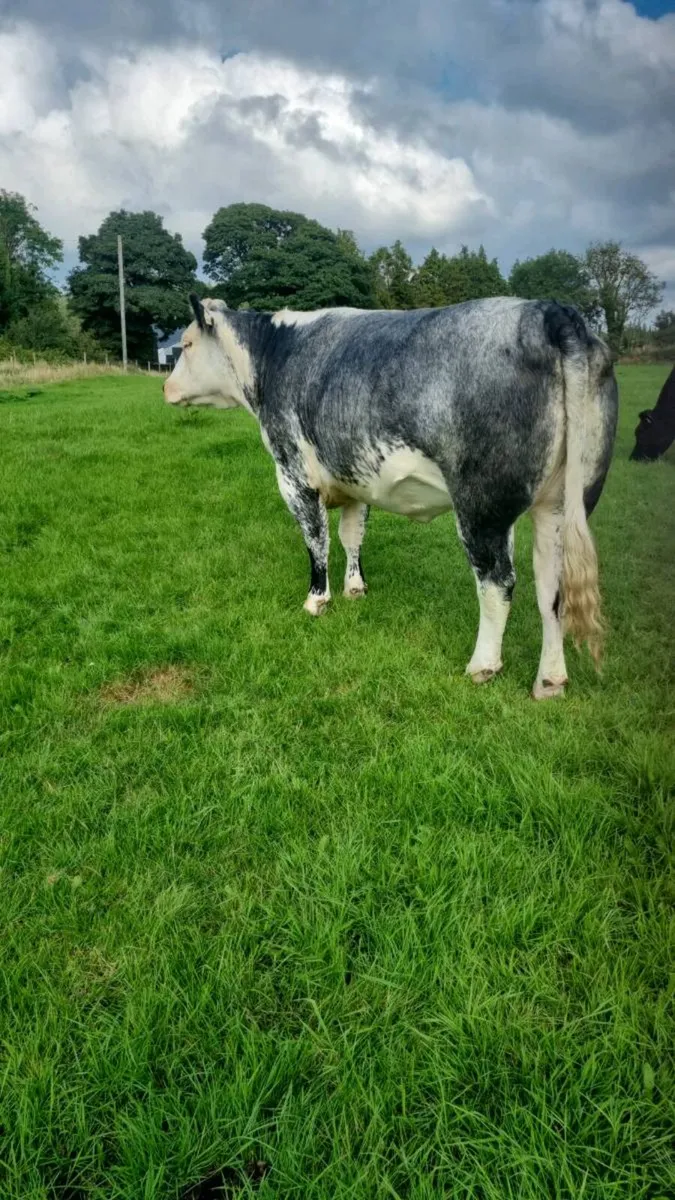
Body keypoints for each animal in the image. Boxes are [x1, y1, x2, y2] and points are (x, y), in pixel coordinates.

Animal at [164, 295, 617, 699]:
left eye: (185, 344)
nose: (166, 388)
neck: (275, 356)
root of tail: (551, 312)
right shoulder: (354, 478)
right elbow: (351, 536)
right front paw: (355, 588)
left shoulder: (293, 475)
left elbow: (317, 542)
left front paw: (317, 600)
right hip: (561, 505)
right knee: (551, 590)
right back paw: (550, 681)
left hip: (483, 507)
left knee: (498, 581)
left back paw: (482, 666)